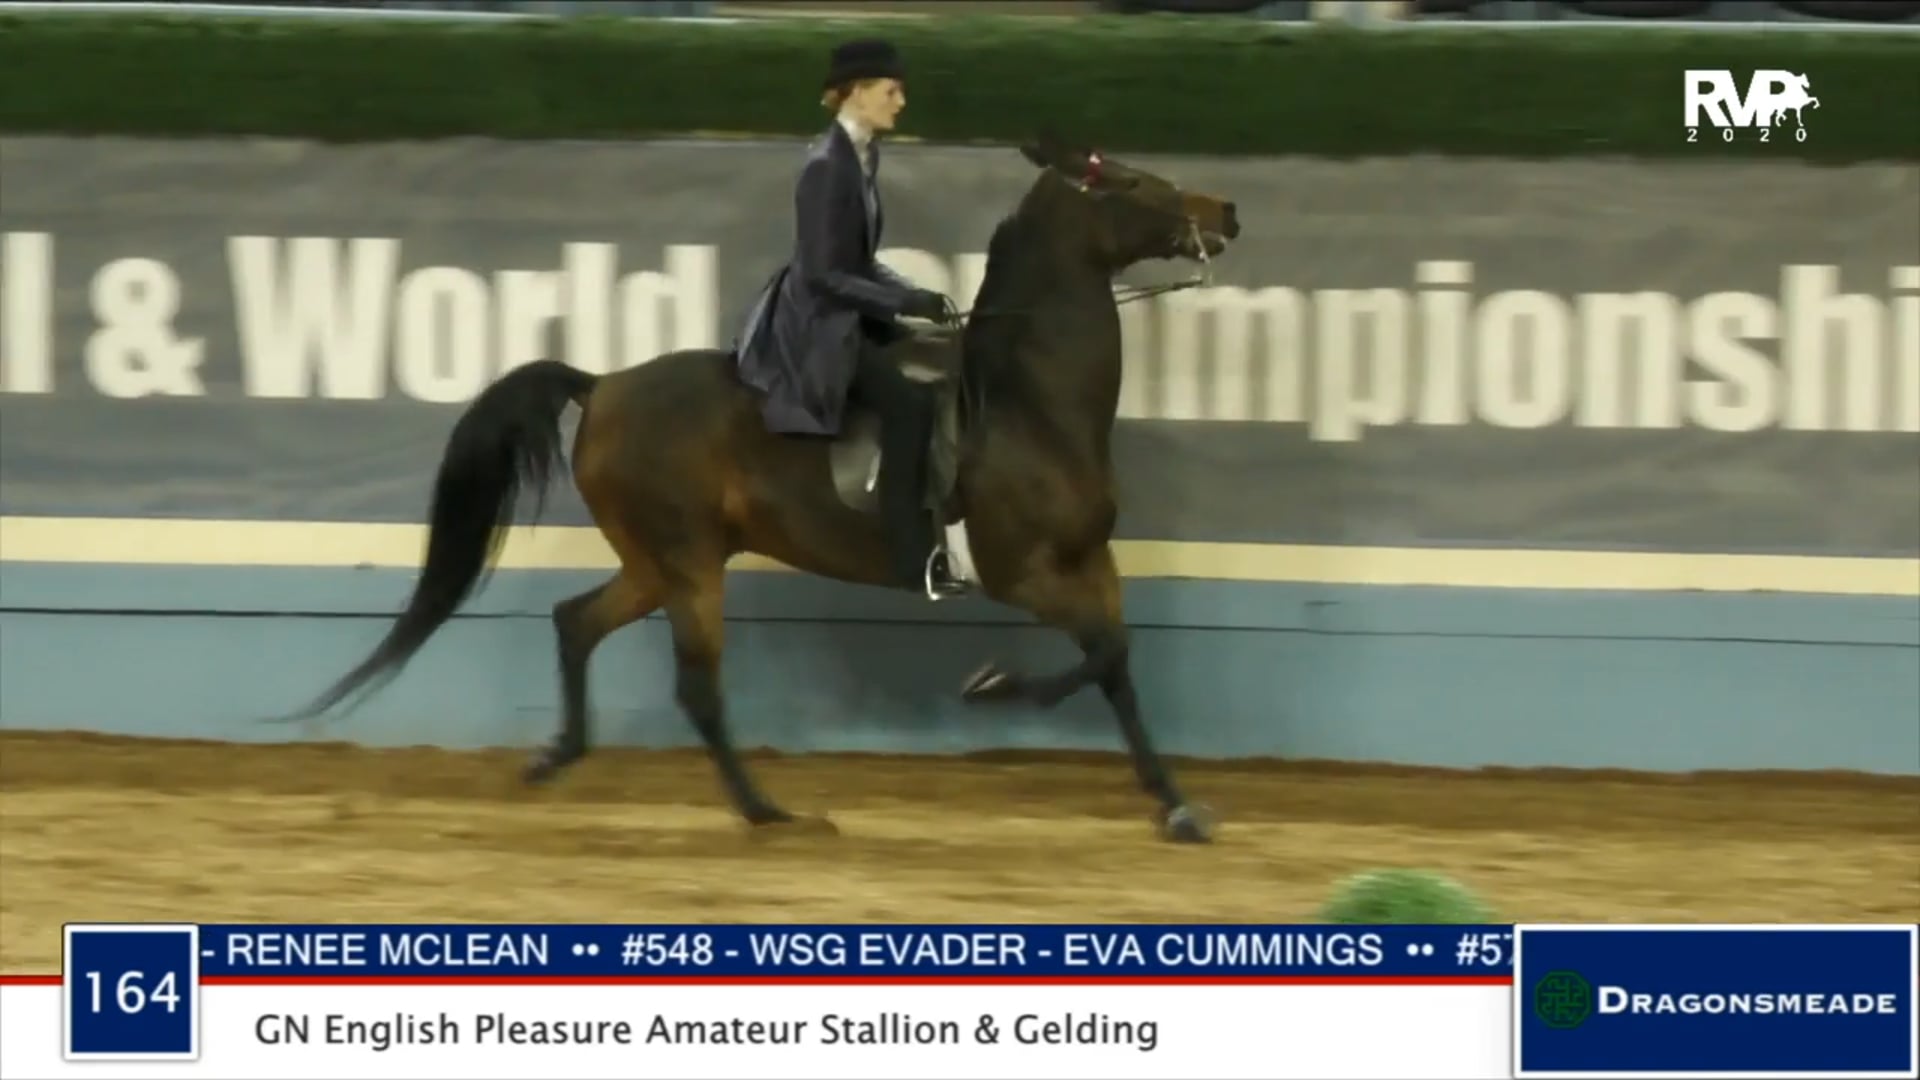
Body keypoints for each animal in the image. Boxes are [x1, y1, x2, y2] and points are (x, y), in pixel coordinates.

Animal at [279, 131, 1242, 844]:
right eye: (1125, 180)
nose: (1225, 211)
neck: (1027, 404)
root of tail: (603, 384)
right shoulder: (1024, 573)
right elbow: (1099, 656)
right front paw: (994, 687)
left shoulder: (1090, 561)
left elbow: (1117, 663)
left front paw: (1176, 805)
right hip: (688, 559)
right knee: (697, 687)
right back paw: (765, 811)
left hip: (659, 559)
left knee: (577, 623)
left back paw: (560, 756)